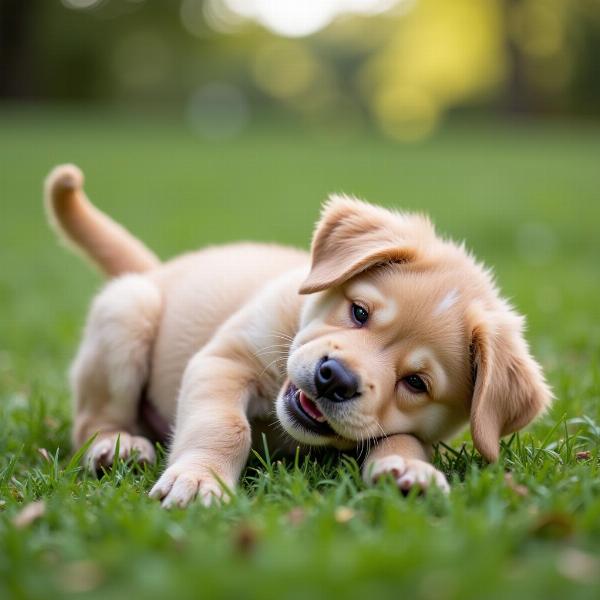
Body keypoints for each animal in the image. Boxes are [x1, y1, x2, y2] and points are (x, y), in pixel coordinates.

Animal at [44, 163, 552, 506]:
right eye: (359, 312)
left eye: (416, 383)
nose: (335, 378)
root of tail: (158, 271)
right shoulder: (223, 360)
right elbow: (223, 426)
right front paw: (201, 479)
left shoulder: (406, 425)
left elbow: (402, 438)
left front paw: (408, 468)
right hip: (127, 313)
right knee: (91, 422)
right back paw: (117, 445)